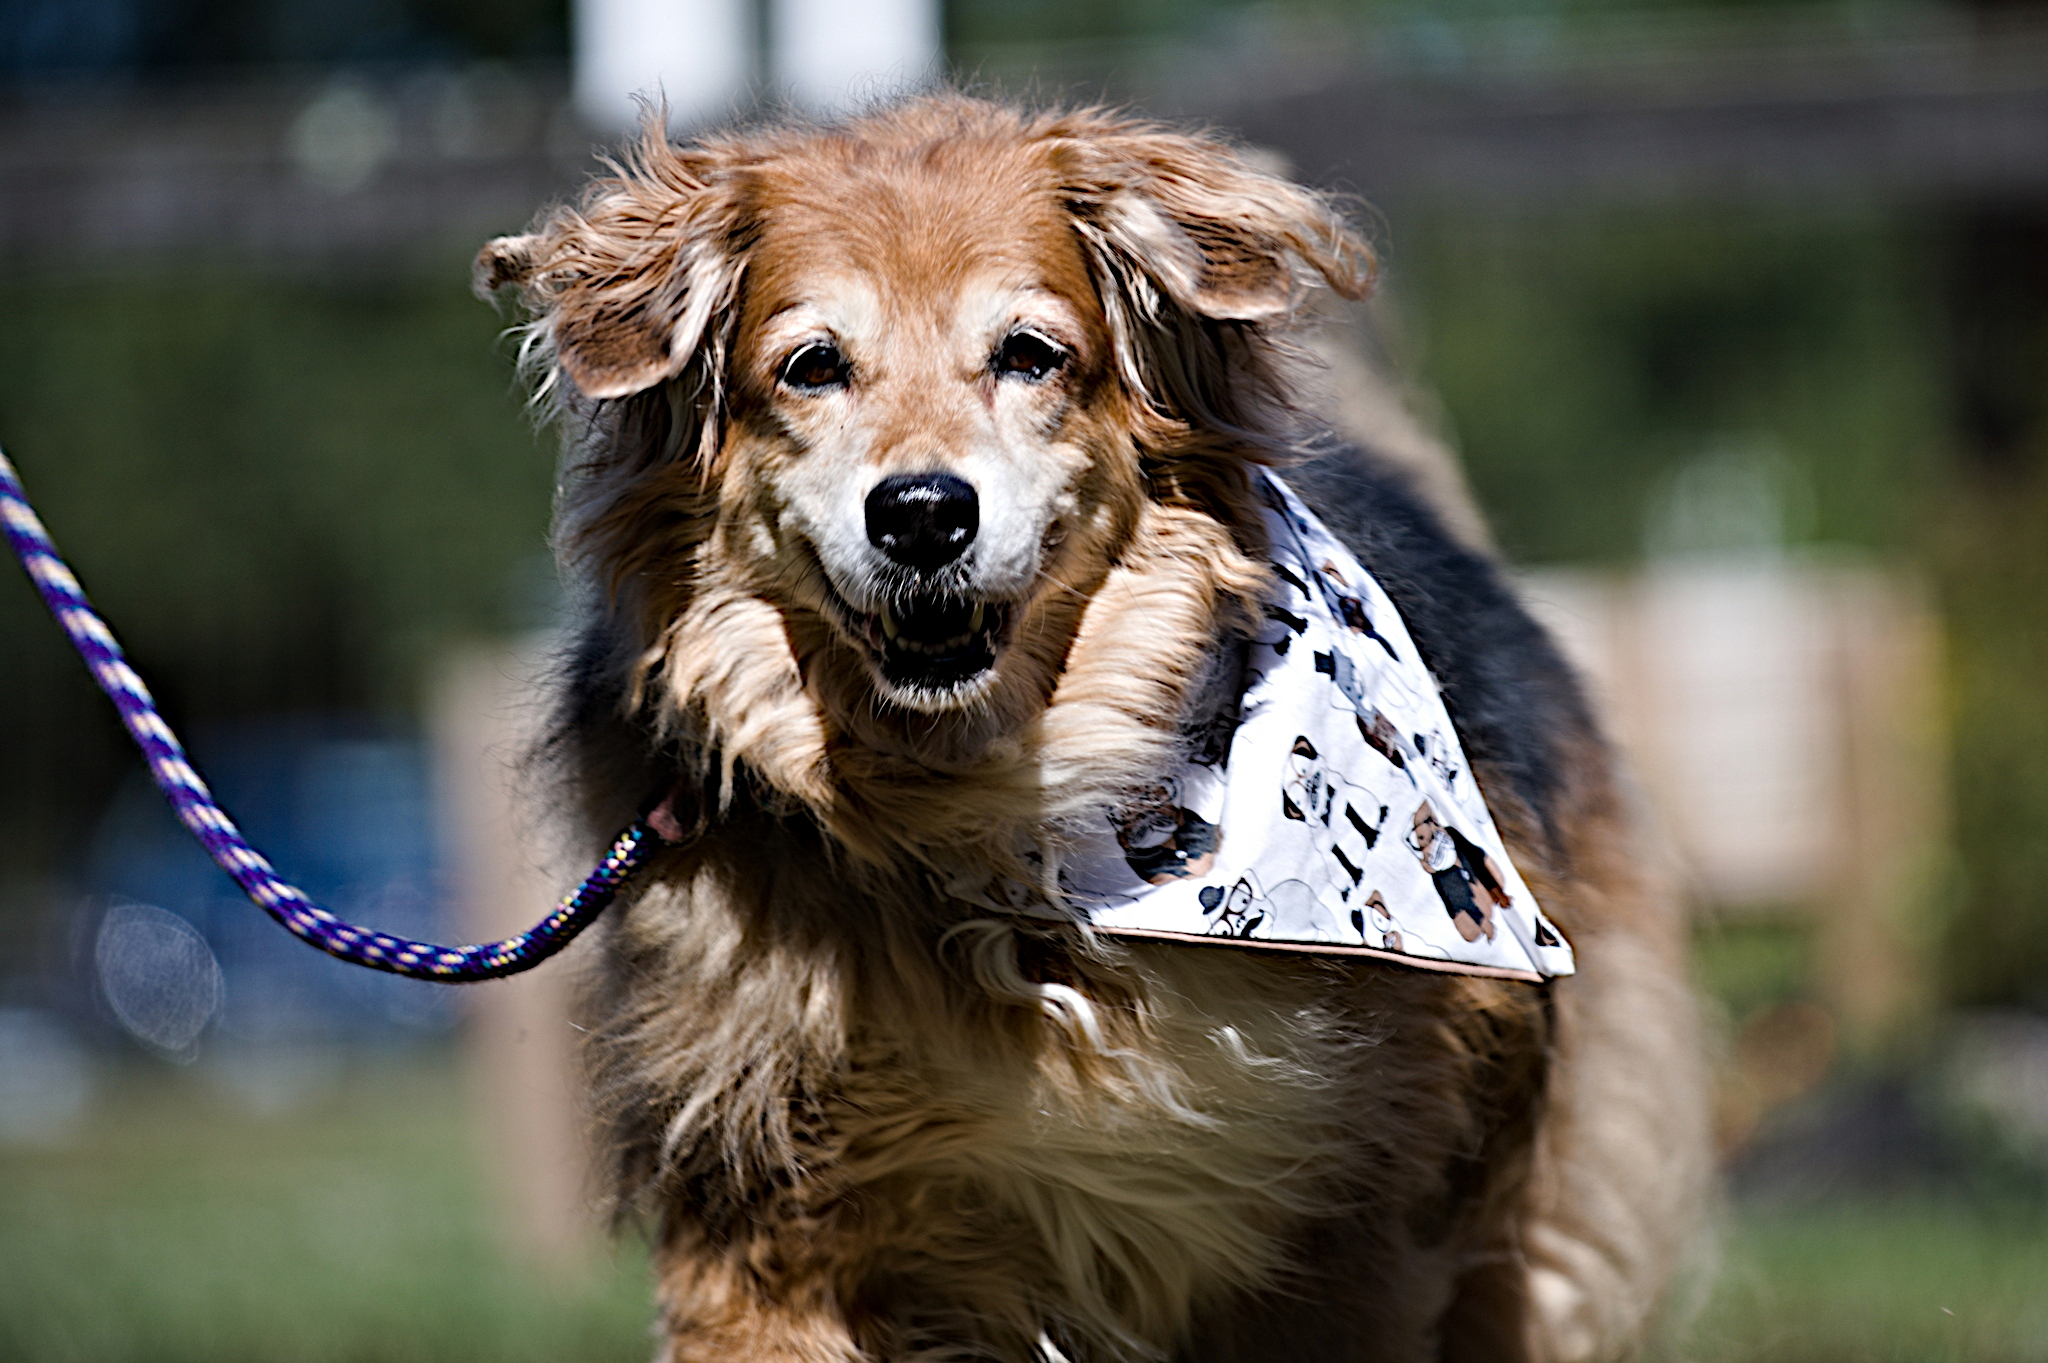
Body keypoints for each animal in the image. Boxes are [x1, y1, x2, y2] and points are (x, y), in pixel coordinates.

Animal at [479, 95, 1712, 1358]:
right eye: (812, 367)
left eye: (1029, 354)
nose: (921, 514)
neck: (1004, 825)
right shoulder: (758, 1227)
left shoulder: (1345, 1227)